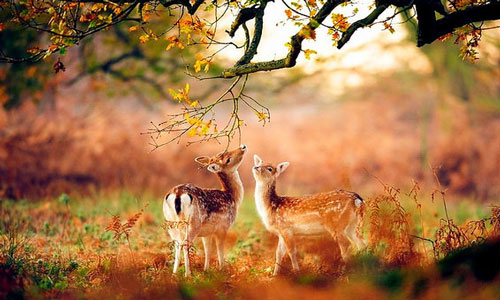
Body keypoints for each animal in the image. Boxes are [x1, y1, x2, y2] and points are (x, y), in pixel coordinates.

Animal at [163, 144, 247, 276]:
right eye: (227, 159)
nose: (242, 146)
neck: (232, 197)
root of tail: (177, 194)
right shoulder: (223, 227)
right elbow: (219, 249)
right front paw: (222, 270)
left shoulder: (207, 232)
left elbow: (207, 249)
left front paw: (206, 270)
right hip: (193, 223)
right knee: (185, 244)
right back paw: (188, 273)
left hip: (170, 222)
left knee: (177, 244)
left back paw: (174, 274)